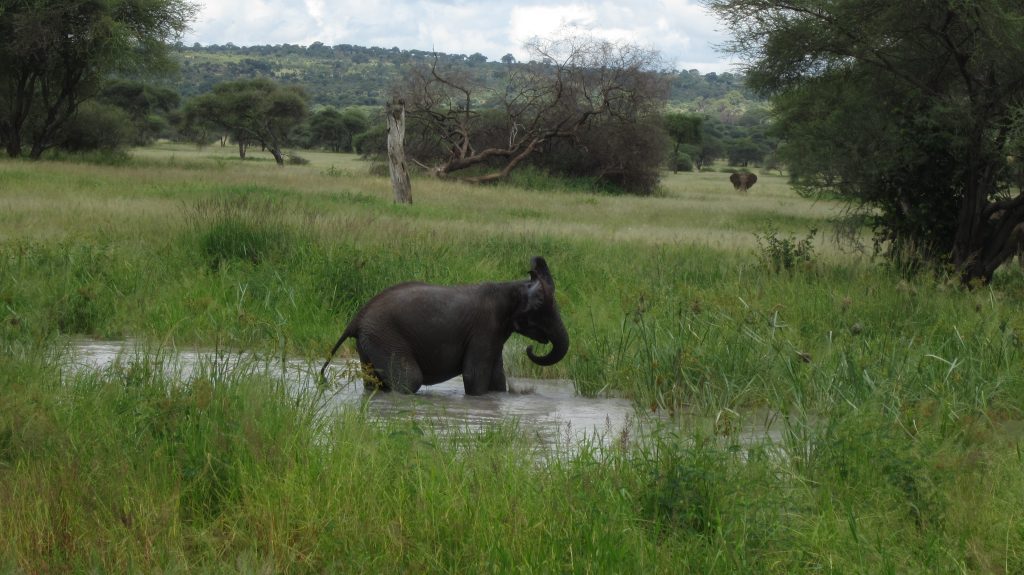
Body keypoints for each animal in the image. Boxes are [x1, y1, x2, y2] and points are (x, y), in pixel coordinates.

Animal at [317, 254, 569, 392]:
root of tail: (356, 319)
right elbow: (474, 376)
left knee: (374, 384)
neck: (512, 287)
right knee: (409, 380)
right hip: (384, 337)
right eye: (541, 307)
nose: (530, 348)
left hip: (369, 341)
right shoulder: (485, 328)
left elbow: (497, 378)